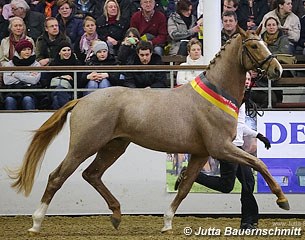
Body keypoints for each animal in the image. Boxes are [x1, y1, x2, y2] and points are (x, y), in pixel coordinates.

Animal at [7, 26, 288, 234]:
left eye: (264, 42)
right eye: (254, 46)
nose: (278, 69)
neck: (216, 94)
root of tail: (82, 100)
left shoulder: (201, 153)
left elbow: (185, 187)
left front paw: (166, 222)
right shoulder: (221, 147)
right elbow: (258, 163)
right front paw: (281, 199)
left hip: (114, 146)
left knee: (92, 174)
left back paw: (117, 215)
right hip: (83, 146)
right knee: (57, 177)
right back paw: (36, 223)